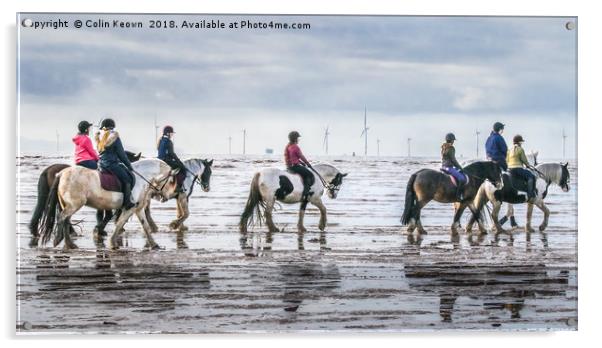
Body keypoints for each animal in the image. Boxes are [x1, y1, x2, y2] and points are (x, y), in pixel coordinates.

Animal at [35, 159, 178, 251]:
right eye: (171, 181)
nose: (165, 198)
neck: (141, 178)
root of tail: (61, 173)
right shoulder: (130, 208)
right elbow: (120, 223)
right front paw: (113, 242)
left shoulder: (138, 209)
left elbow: (146, 227)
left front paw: (155, 245)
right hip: (74, 205)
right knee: (62, 218)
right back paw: (59, 240)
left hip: (69, 205)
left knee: (66, 220)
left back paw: (70, 244)